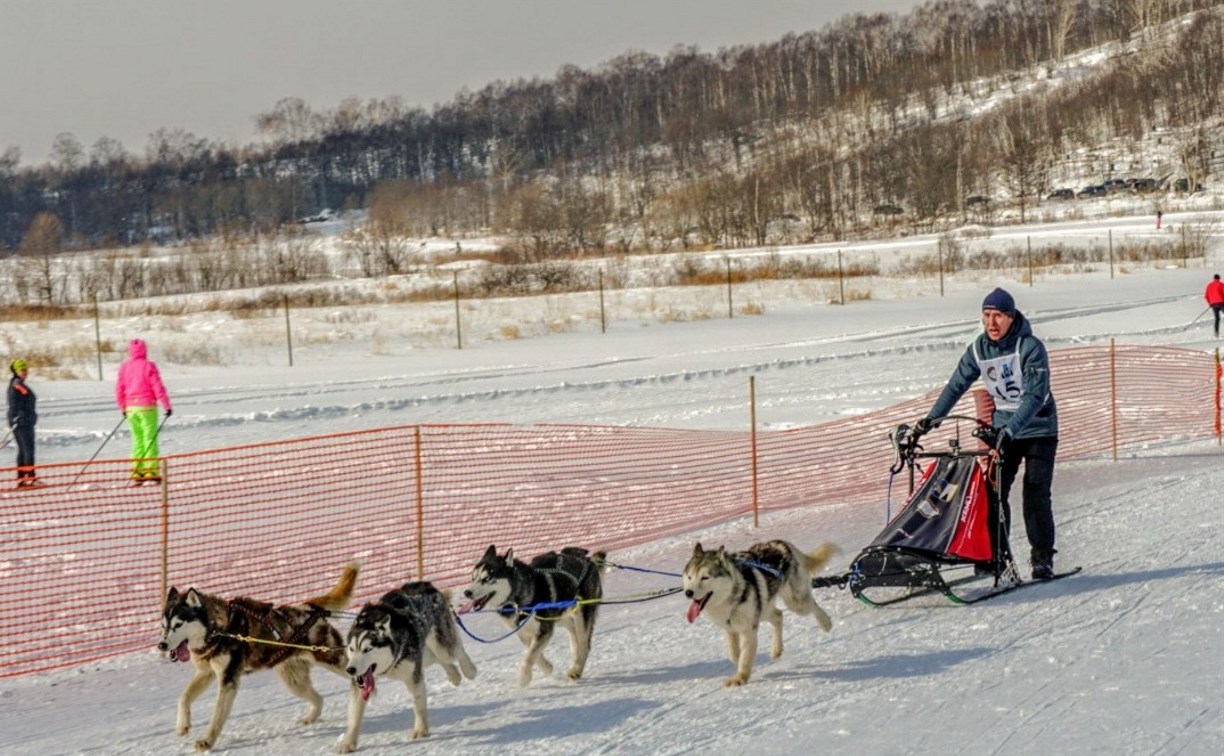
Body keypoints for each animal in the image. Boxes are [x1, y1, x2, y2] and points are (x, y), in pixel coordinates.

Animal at [156, 560, 362, 748]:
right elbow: (183, 698)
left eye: (178, 625)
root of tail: (308, 607)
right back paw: (310, 718)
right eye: (163, 626)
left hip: (333, 660)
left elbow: (216, 715)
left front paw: (207, 740)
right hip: (293, 681)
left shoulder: (228, 678)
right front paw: (183, 725)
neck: (218, 629)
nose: (161, 645)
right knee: (319, 698)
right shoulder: (206, 673)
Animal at [345, 577, 482, 748]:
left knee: (456, 650)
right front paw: (348, 742)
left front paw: (421, 730)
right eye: (351, 649)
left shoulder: (413, 676)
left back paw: (469, 670)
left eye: (367, 649)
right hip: (424, 653)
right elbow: (354, 714)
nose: (350, 670)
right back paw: (454, 675)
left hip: (441, 646)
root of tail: (424, 584)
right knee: (439, 659)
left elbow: (419, 705)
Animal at [460, 545, 604, 685]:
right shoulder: (524, 631)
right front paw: (547, 667)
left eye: (487, 579)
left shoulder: (544, 630)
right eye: (473, 578)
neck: (516, 597)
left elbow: (529, 656)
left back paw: (576, 669)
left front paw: (524, 677)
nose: (467, 592)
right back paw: (574, 651)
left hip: (582, 614)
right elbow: (533, 652)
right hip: (560, 615)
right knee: (574, 632)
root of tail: (587, 559)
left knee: (585, 644)